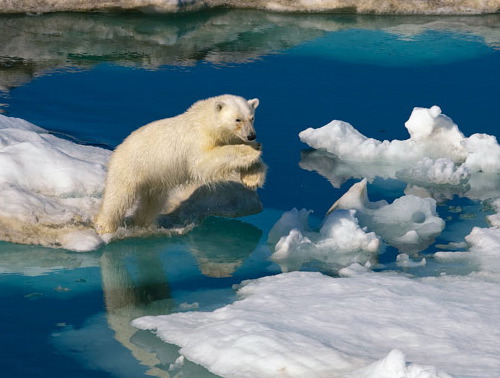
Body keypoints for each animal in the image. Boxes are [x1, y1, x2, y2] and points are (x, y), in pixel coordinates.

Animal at [94, 95, 266, 233]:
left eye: (252, 118)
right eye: (238, 119)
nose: (251, 135)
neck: (204, 120)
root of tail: (118, 150)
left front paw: (252, 179)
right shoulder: (197, 139)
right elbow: (204, 162)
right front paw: (252, 149)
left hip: (154, 178)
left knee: (152, 201)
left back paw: (143, 223)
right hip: (130, 168)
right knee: (117, 198)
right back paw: (104, 227)